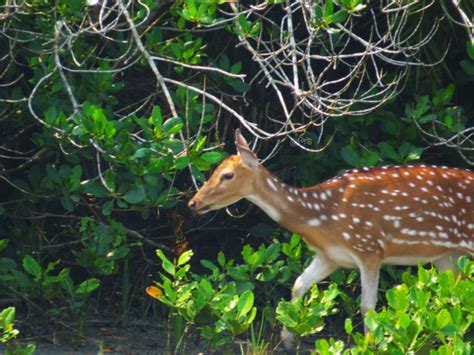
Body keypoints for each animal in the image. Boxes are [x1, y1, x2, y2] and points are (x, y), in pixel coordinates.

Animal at [187, 129, 472, 346]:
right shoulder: (330, 256)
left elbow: (367, 305)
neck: (321, 216)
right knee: (455, 292)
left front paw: (369, 346)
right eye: (214, 170)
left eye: (227, 175)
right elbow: (298, 284)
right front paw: (288, 339)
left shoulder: (369, 247)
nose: (193, 203)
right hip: (447, 256)